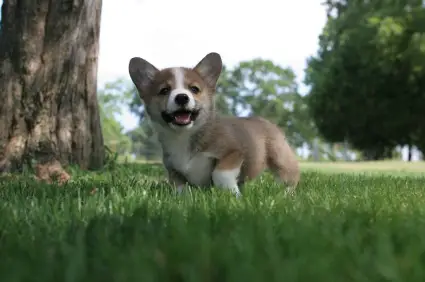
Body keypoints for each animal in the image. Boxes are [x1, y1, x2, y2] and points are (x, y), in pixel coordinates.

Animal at [128, 52, 298, 196]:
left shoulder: (233, 152)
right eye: (164, 90)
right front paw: (183, 199)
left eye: (194, 89)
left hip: (280, 158)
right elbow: (181, 187)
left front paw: (232, 195)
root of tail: (267, 121)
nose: (182, 97)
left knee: (290, 176)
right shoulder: (174, 170)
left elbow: (220, 174)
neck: (184, 136)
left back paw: (285, 193)